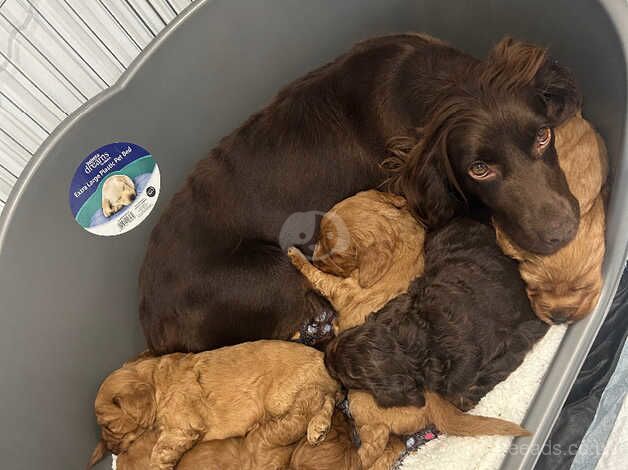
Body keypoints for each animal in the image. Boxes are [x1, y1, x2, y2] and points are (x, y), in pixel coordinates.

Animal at [86, 342, 340, 470]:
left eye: (108, 426)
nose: (112, 450)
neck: (155, 381)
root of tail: (323, 359)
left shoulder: (183, 428)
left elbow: (159, 452)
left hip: (279, 397)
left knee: (319, 398)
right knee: (329, 398)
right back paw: (319, 428)